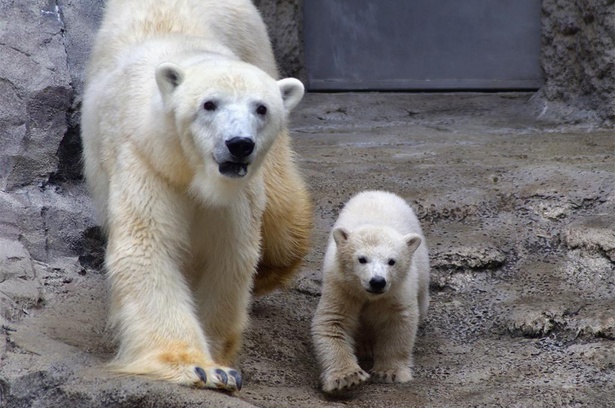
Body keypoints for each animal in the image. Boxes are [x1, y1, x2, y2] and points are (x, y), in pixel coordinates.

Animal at [80, 0, 312, 392]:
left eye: (261, 108)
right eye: (209, 104)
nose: (239, 145)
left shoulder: (236, 195)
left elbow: (229, 256)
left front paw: (219, 359)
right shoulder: (147, 160)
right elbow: (148, 246)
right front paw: (199, 368)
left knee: (282, 213)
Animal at [312, 191, 428, 392]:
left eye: (392, 261)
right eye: (362, 259)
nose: (377, 282)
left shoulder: (397, 291)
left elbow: (398, 323)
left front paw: (388, 373)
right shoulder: (341, 286)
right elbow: (333, 321)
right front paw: (347, 377)